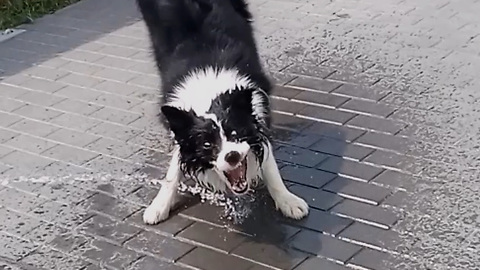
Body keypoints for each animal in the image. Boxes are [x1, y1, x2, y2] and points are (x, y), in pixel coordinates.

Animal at [136, 0, 308, 225]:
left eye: (235, 133)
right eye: (207, 144)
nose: (232, 156)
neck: (208, 94)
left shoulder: (258, 115)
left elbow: (269, 164)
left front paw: (287, 200)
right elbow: (173, 170)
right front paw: (159, 205)